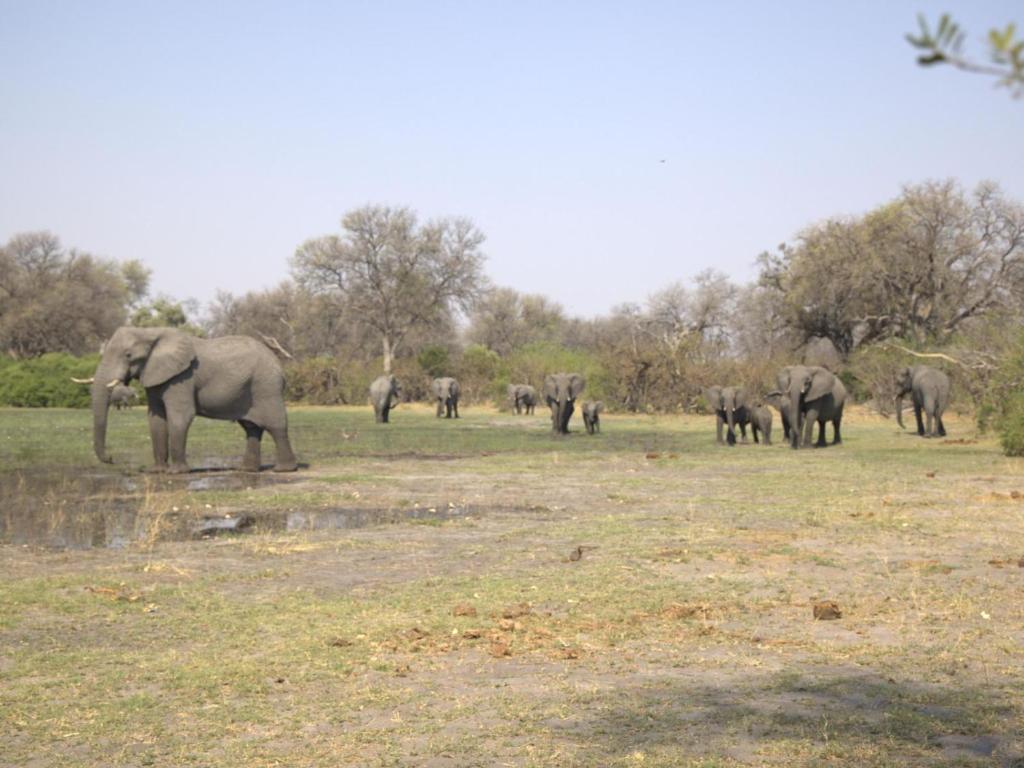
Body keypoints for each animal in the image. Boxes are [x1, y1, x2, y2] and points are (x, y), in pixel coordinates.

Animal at [87, 326, 298, 473]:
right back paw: (247, 470)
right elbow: (156, 420)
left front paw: (177, 472)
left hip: (266, 386)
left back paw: (284, 470)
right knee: (251, 428)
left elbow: (180, 417)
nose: (111, 458)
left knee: (276, 425)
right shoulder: (156, 377)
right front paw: (157, 472)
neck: (150, 332)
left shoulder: (182, 377)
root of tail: (279, 363)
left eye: (128, 355)